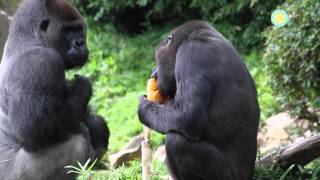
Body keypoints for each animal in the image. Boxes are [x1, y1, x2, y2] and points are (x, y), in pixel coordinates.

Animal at [0, 0, 109, 179]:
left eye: (79, 29)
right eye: (68, 30)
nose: (80, 43)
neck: (29, 37)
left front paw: (95, 123)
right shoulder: (39, 62)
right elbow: (32, 131)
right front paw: (82, 88)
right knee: (76, 142)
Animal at [138, 20, 260, 179]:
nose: (154, 70)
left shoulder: (190, 53)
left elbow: (187, 116)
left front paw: (143, 108)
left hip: (229, 176)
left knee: (177, 142)